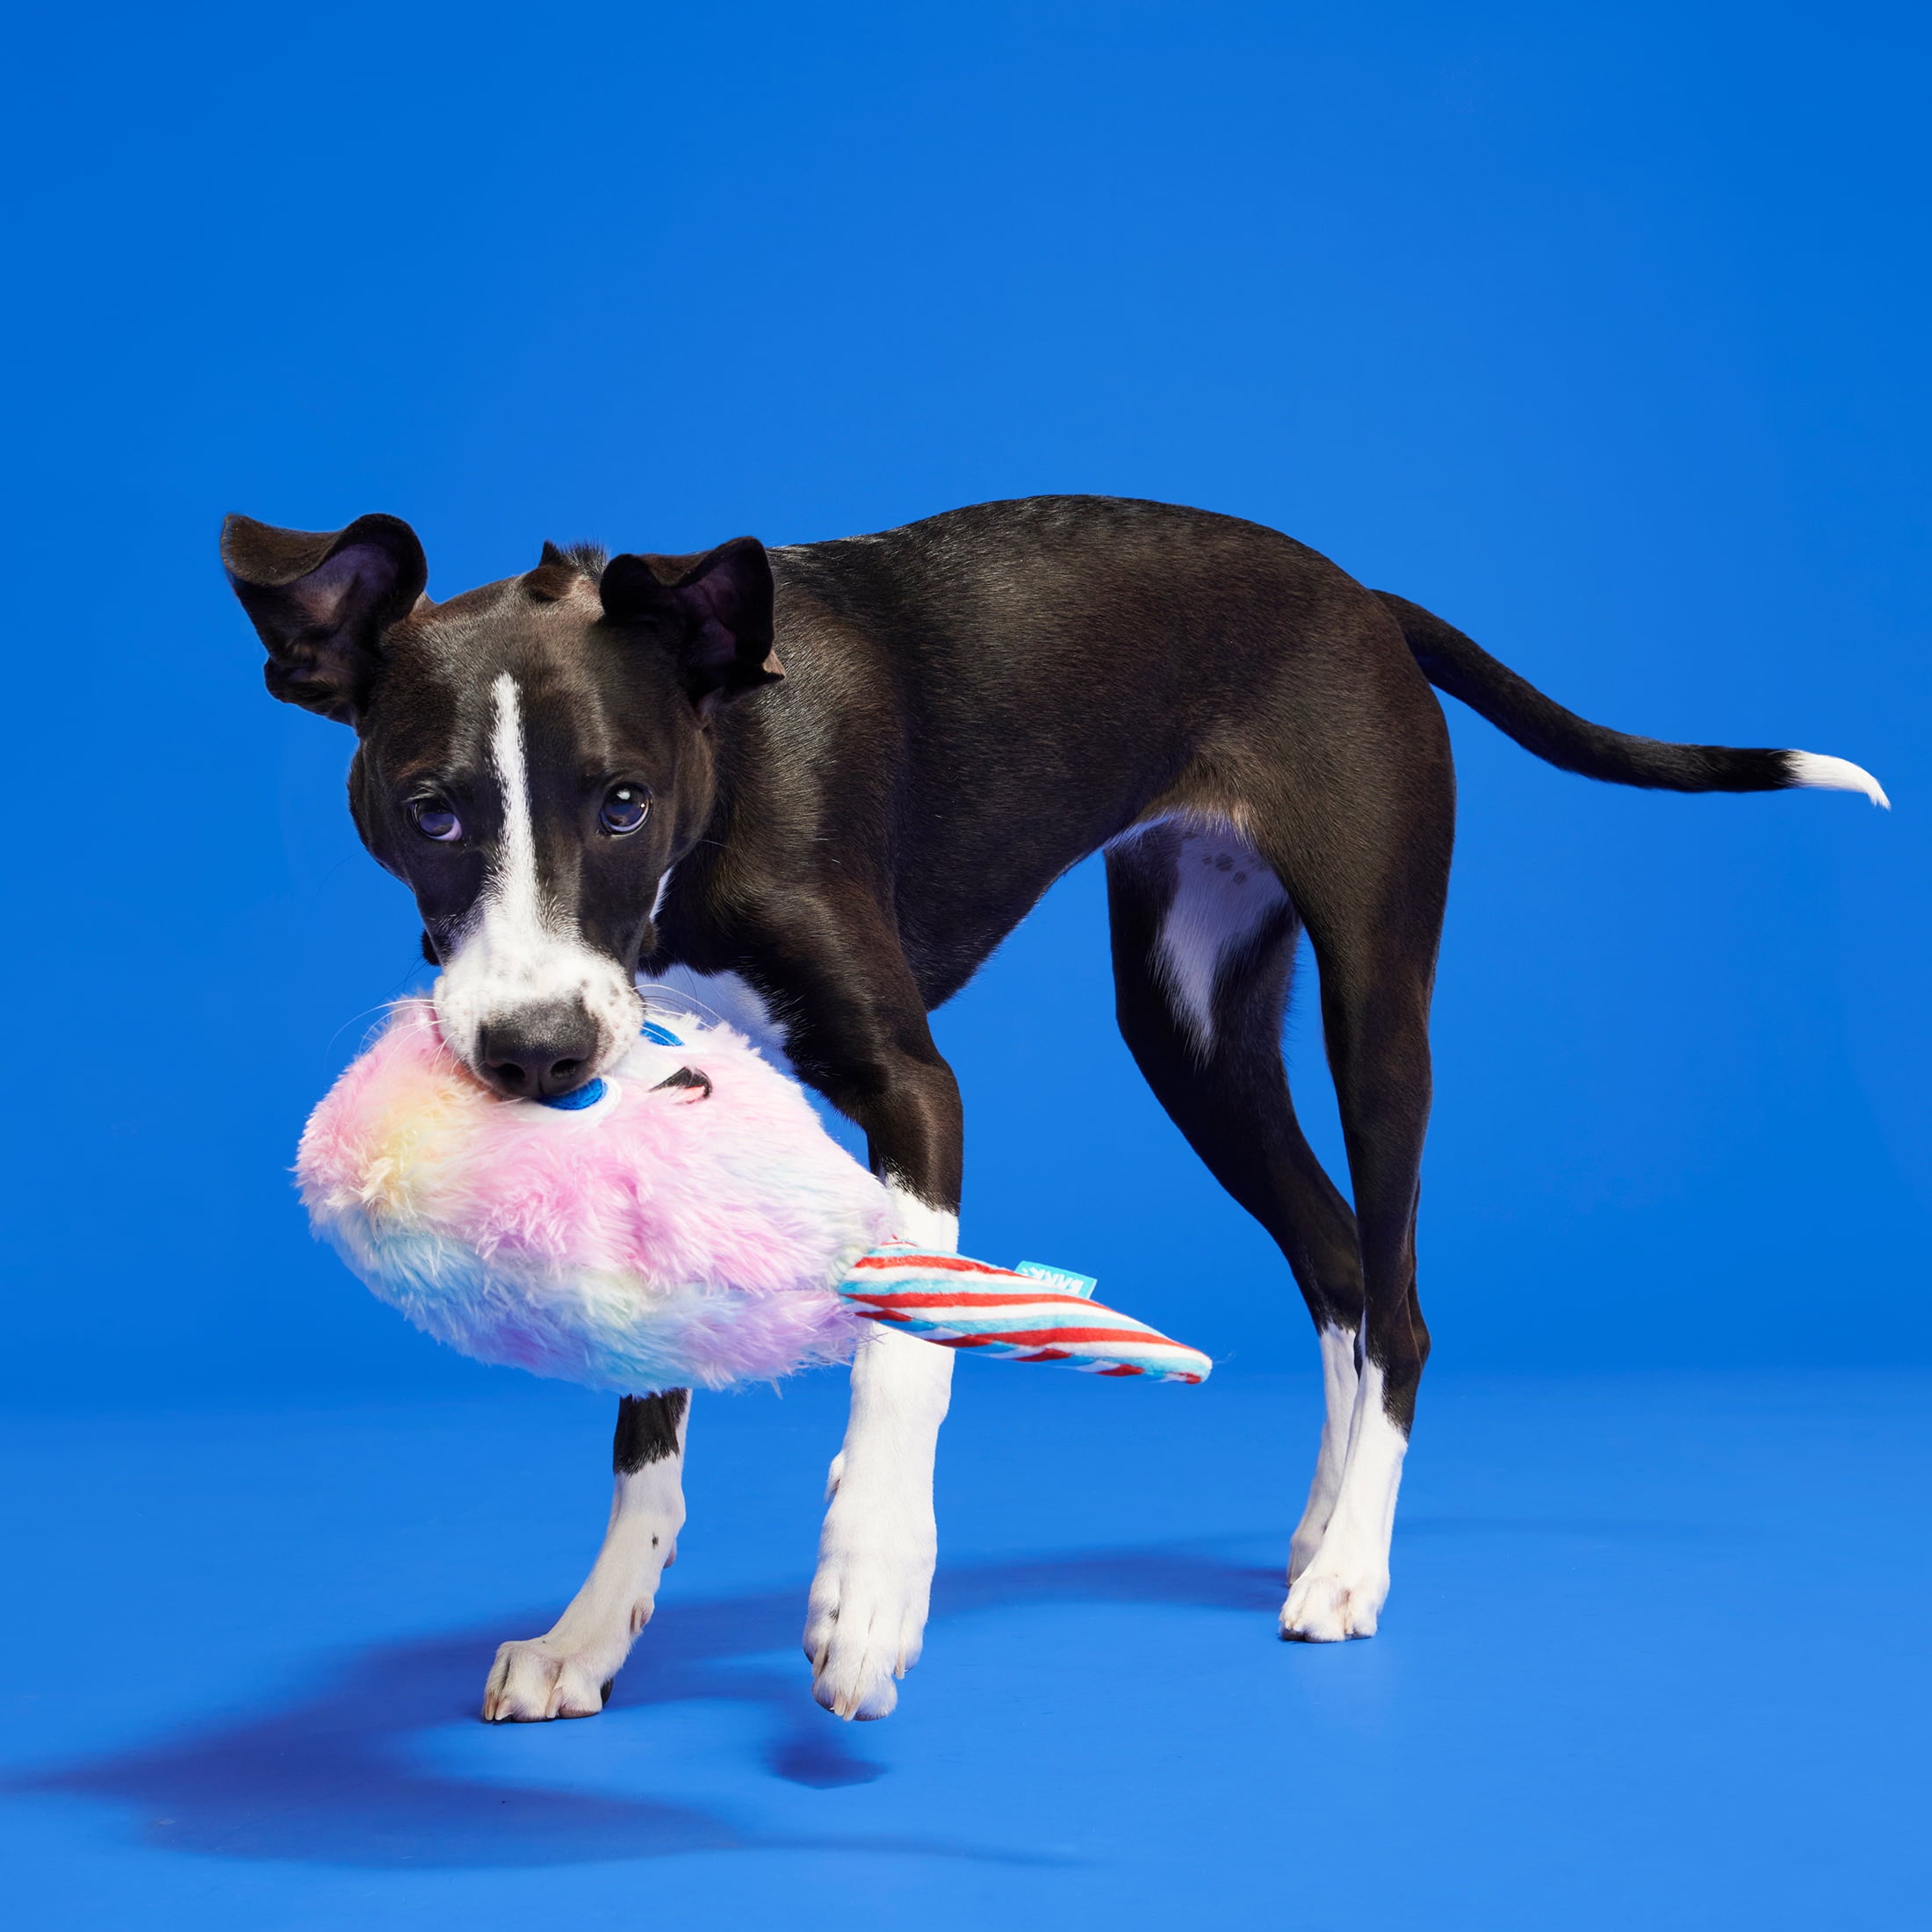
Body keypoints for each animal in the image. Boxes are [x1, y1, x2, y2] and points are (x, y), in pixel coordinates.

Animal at [219, 494, 1878, 1723]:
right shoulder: (662, 1102)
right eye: (431, 811)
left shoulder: (912, 1084)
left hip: (1377, 1014)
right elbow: (648, 1417)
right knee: (1339, 1264)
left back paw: (1354, 1567)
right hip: (1192, 1030)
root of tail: (1361, 594)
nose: (535, 1054)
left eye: (622, 802)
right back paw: (1324, 1522)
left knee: (1398, 1300)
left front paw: (872, 1586)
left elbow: (907, 1347)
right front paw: (591, 1632)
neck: (727, 762)